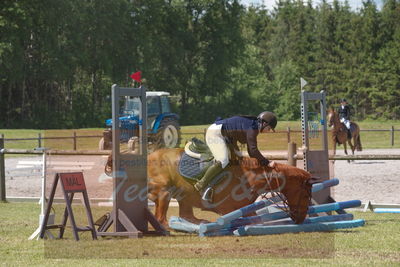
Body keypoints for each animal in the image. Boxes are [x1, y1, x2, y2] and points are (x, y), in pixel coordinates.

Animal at [104, 149, 318, 228]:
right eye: (306, 193)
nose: (300, 218)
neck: (251, 176)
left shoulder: (244, 208)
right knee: (161, 218)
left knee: (186, 215)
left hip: (181, 197)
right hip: (164, 192)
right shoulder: (229, 208)